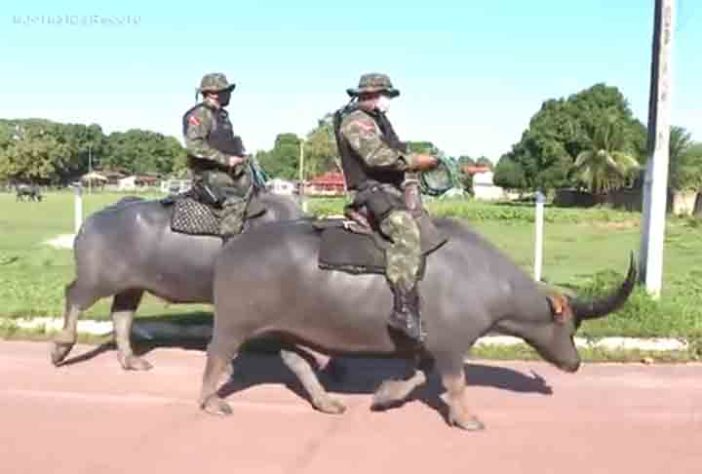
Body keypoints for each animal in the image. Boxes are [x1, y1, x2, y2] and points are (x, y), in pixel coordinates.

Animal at [49, 192, 302, 370]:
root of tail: (90, 222)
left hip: (131, 287)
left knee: (121, 315)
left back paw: (131, 360)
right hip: (98, 281)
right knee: (73, 296)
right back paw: (61, 348)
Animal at [201, 217, 636, 432]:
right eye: (571, 325)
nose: (574, 363)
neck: (482, 276)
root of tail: (233, 246)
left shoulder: (427, 346)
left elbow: (416, 376)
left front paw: (384, 396)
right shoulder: (451, 346)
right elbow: (455, 383)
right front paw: (467, 419)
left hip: (287, 328)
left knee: (296, 361)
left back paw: (326, 401)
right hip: (234, 323)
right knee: (217, 354)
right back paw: (211, 402)